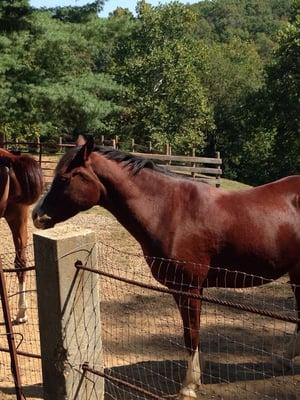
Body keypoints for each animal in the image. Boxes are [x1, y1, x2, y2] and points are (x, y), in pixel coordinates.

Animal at [32, 136, 300, 398]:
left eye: (64, 178)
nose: (36, 215)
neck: (169, 210)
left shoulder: (189, 288)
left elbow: (191, 334)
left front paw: (189, 385)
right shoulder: (181, 288)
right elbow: (190, 332)